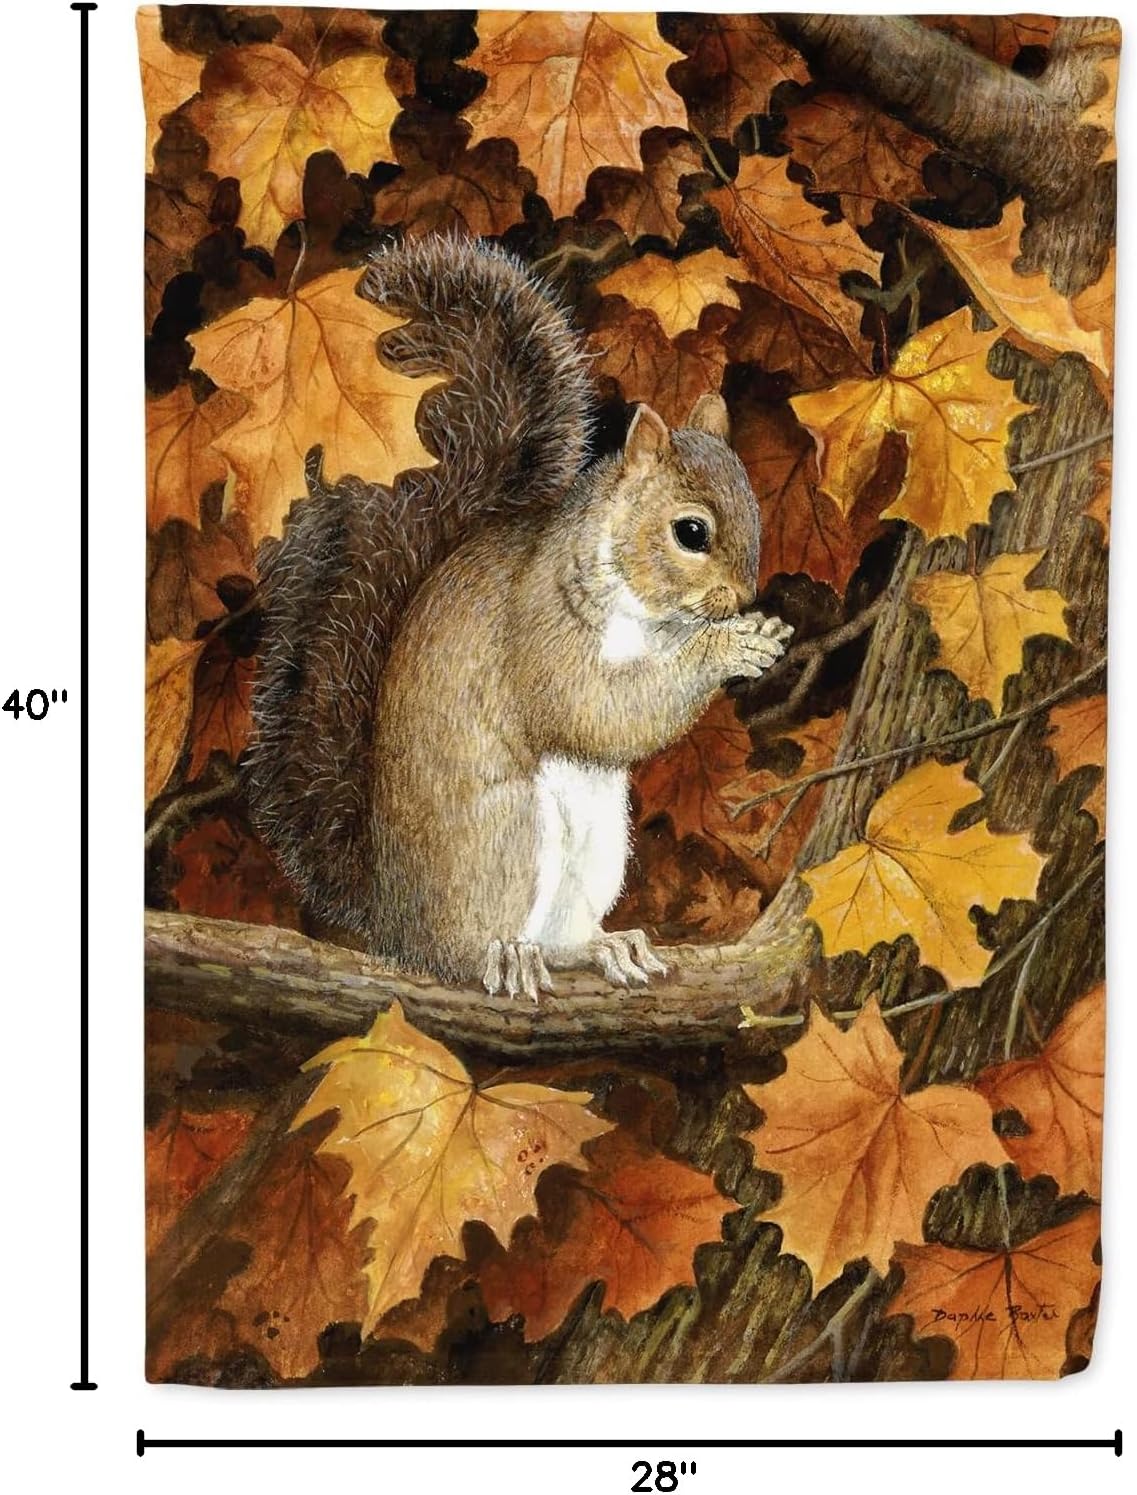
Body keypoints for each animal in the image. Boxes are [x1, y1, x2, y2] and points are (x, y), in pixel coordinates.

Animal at [246, 237, 792, 1001]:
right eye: (691, 531)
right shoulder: (540, 625)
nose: (740, 599)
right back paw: (500, 954)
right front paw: (726, 649)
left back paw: (604, 946)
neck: (645, 615)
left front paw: (760, 636)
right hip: (501, 837)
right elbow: (593, 709)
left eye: (756, 509)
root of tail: (392, 920)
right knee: (463, 946)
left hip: (596, 844)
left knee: (562, 936)